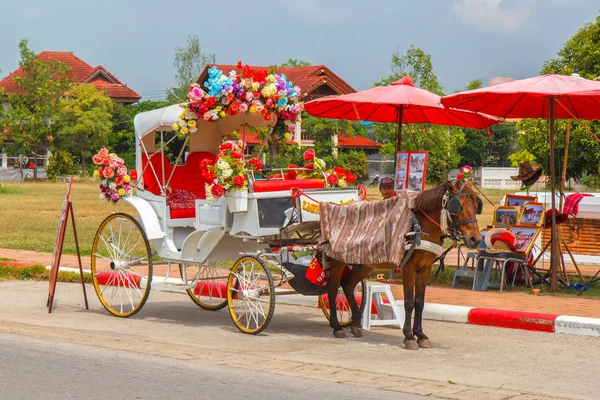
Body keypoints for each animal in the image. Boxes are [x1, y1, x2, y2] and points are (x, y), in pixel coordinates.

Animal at [324, 180, 482, 348]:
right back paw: (336, 326)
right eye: (459, 206)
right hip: (338, 260)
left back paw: (355, 324)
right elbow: (409, 302)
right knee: (333, 289)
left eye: (476, 206)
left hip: (365, 264)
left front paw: (420, 335)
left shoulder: (424, 269)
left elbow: (419, 303)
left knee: (347, 284)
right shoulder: (408, 267)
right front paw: (409, 337)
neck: (421, 228)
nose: (475, 239)